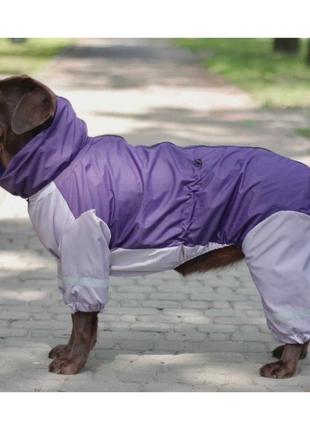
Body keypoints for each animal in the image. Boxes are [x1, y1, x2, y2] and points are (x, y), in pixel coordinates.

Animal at [0, 75, 308, 378]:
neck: (63, 162)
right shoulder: (71, 260)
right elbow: (78, 321)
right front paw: (68, 351)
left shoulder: (84, 255)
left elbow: (83, 320)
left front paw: (73, 363)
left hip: (276, 257)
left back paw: (286, 365)